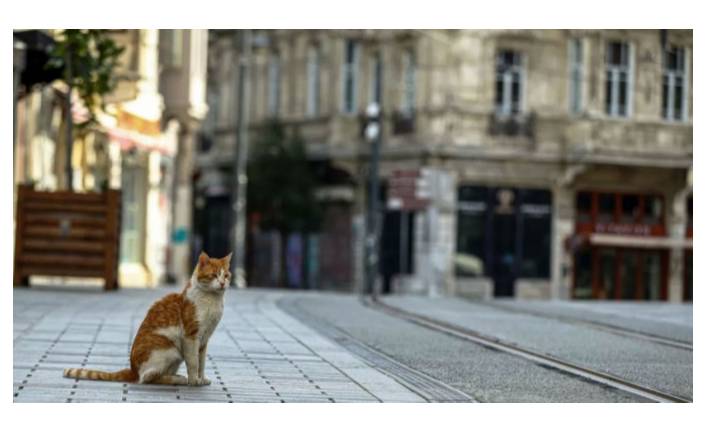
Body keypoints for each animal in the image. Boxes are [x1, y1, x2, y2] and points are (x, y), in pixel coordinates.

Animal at [64, 251, 231, 386]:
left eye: (226, 275)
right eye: (214, 275)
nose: (223, 283)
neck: (213, 301)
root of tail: (132, 370)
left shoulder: (204, 340)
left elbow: (201, 362)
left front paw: (201, 378)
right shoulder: (191, 337)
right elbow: (194, 362)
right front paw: (194, 380)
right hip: (171, 349)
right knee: (147, 377)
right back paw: (179, 379)